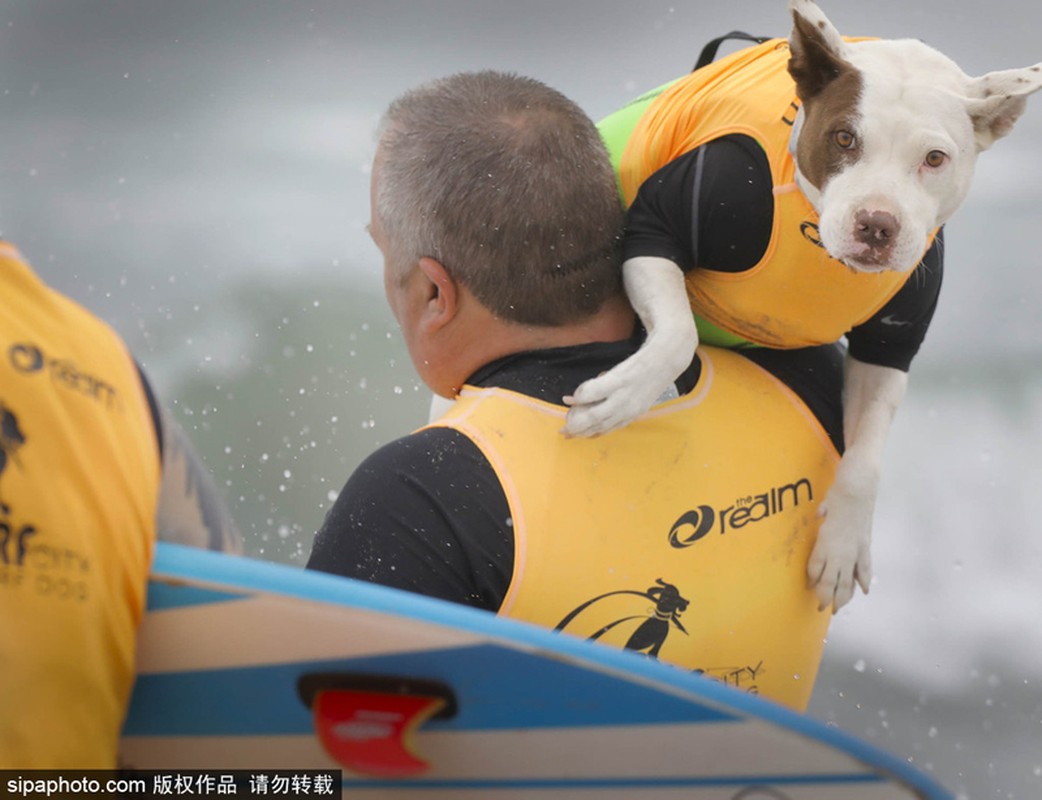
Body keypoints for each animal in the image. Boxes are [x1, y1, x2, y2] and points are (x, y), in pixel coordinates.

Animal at [562, 1, 1042, 612]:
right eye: (844, 137)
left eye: (935, 158)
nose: (877, 225)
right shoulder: (670, 220)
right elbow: (677, 335)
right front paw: (621, 397)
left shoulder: (893, 344)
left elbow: (867, 457)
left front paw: (843, 545)